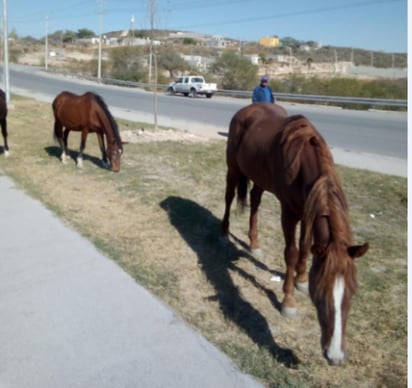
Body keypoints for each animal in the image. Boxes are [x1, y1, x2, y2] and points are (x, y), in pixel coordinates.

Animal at [222, 102, 370, 364]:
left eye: (353, 290)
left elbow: (305, 247)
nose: (334, 355)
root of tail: (246, 109)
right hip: (233, 167)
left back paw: (254, 244)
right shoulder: (290, 213)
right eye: (320, 293)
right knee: (229, 197)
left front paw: (301, 279)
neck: (303, 163)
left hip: (259, 178)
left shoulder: (307, 210)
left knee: (255, 201)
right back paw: (223, 232)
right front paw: (288, 301)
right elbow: (291, 252)